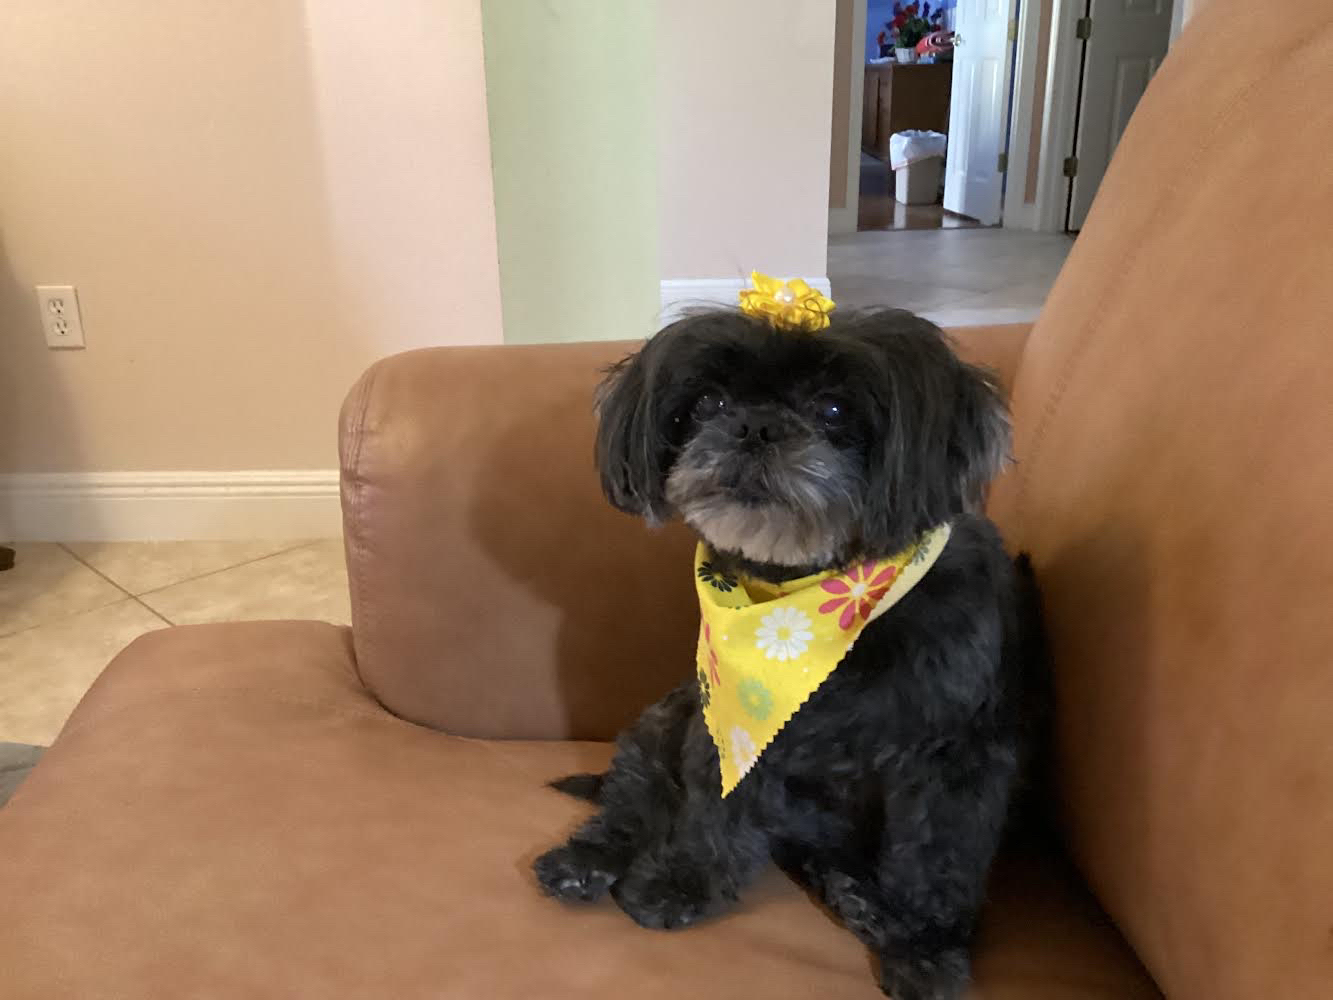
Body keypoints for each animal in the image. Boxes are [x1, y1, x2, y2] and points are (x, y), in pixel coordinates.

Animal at [533, 307, 1040, 999]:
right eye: (708, 402)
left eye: (834, 407)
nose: (755, 426)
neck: (810, 593)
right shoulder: (728, 724)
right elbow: (711, 808)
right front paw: (680, 881)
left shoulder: (958, 757)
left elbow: (940, 856)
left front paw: (926, 947)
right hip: (667, 716)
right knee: (633, 796)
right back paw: (587, 859)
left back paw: (858, 896)